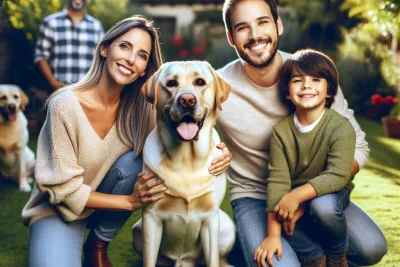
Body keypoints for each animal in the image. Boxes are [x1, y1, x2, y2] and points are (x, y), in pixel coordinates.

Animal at [133, 61, 236, 266]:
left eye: (200, 82)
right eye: (171, 83)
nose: (187, 100)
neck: (187, 160)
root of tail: (184, 261)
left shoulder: (211, 217)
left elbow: (213, 259)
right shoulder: (151, 218)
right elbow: (149, 260)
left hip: (227, 227)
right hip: (137, 229)